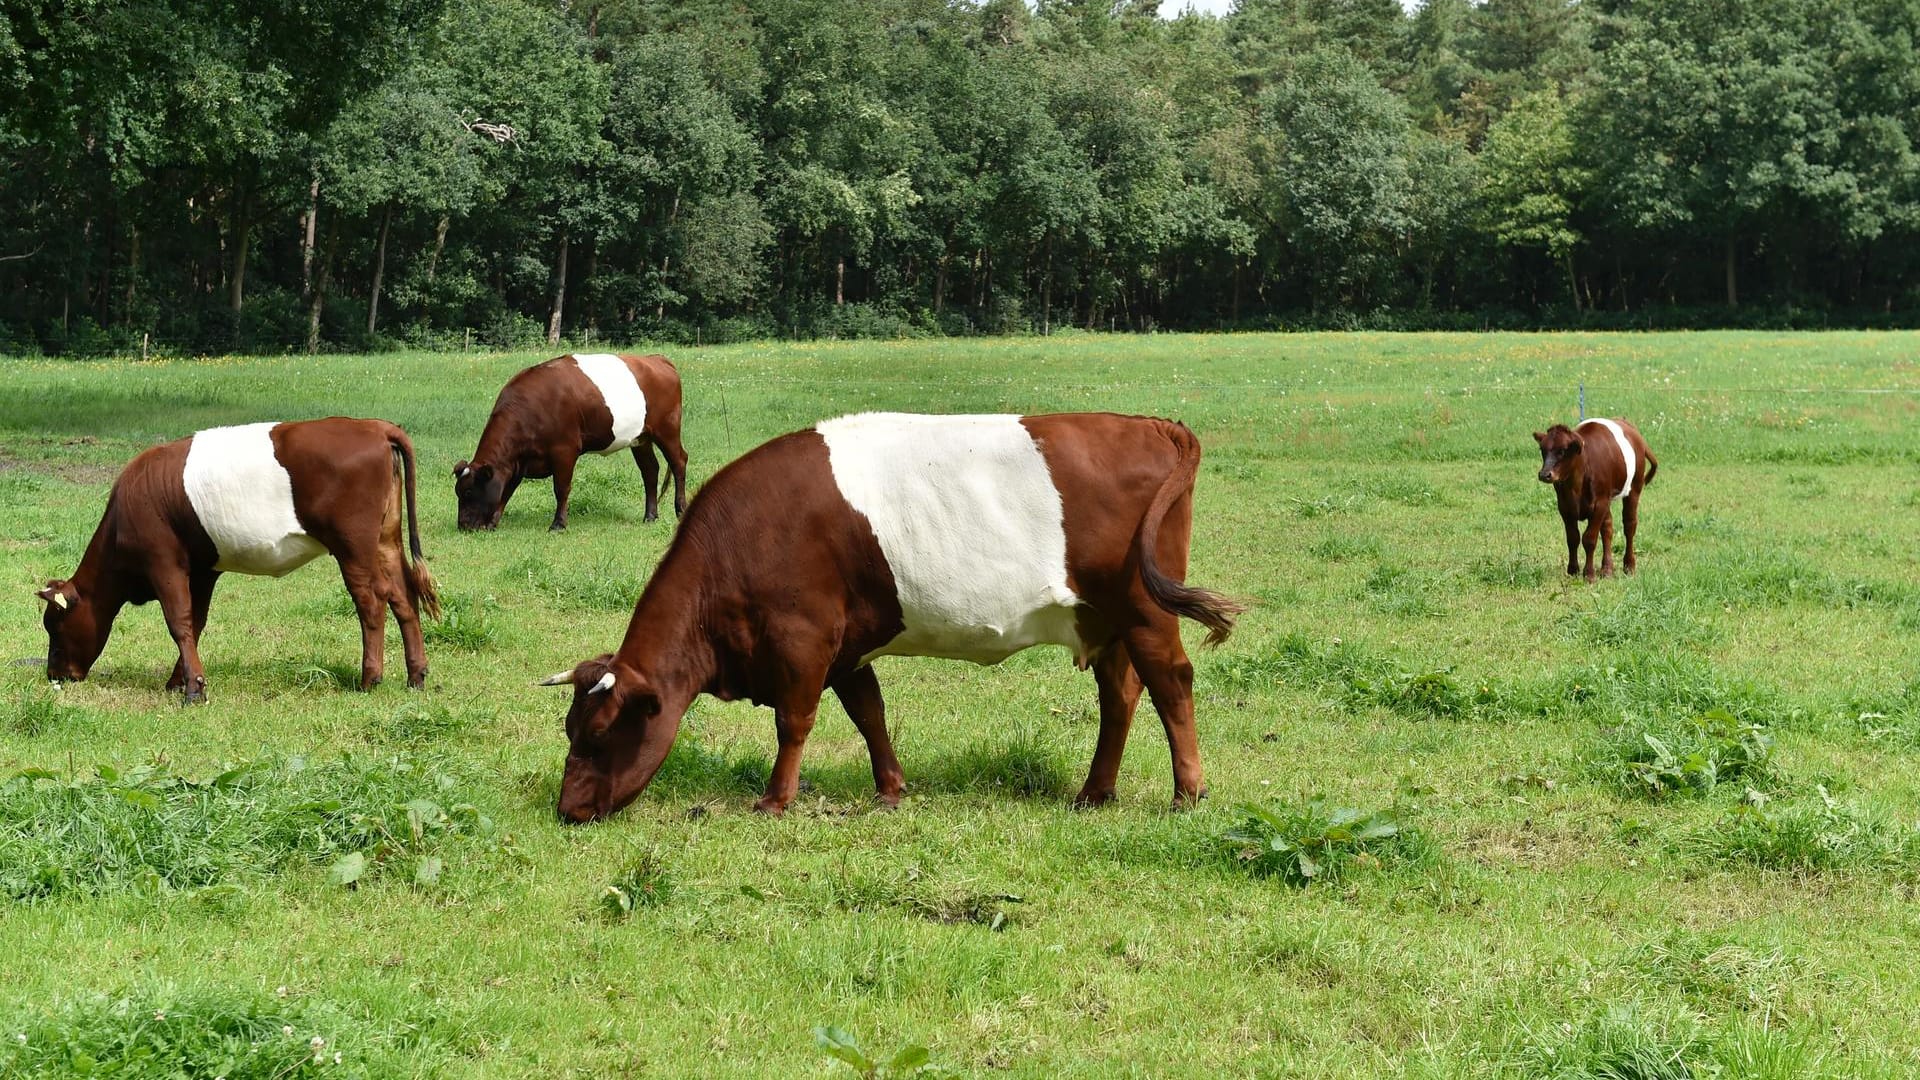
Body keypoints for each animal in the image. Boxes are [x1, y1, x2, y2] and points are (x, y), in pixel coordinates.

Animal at [37, 411, 439, 699]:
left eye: (54, 625)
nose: (55, 674)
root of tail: (375, 427)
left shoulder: (163, 562)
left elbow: (178, 622)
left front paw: (194, 689)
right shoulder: (202, 570)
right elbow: (195, 622)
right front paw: (180, 680)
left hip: (353, 546)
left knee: (371, 600)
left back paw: (370, 678)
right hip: (385, 540)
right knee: (404, 595)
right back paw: (416, 674)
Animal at [453, 351, 687, 530]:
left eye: (468, 492)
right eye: (458, 492)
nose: (463, 525)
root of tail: (657, 359)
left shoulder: (564, 450)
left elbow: (561, 488)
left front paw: (558, 524)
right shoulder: (517, 461)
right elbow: (506, 491)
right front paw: (493, 522)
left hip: (667, 429)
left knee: (679, 462)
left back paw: (681, 509)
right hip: (641, 437)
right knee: (650, 470)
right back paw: (650, 516)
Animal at [537, 407, 1244, 818]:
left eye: (597, 735)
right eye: (570, 731)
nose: (568, 809)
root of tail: (1150, 423)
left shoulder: (803, 639)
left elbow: (794, 722)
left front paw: (775, 800)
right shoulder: (847, 649)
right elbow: (869, 714)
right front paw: (891, 788)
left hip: (1146, 611)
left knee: (1171, 684)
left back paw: (1188, 793)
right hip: (1106, 621)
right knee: (1120, 696)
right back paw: (1094, 793)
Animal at [1536, 417, 1658, 580]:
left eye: (1562, 450)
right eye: (1542, 450)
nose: (1545, 474)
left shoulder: (1599, 504)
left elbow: (1589, 539)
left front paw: (1589, 574)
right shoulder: (1564, 507)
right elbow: (1573, 538)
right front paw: (1573, 570)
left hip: (1634, 488)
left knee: (1629, 525)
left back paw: (1629, 566)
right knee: (1607, 528)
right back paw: (1607, 569)